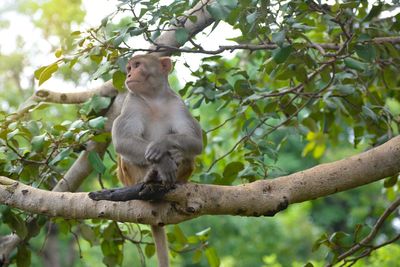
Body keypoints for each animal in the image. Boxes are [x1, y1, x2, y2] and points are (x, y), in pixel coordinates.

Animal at [111, 54, 203, 267]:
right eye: (129, 67)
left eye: (137, 65)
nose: (128, 75)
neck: (154, 99)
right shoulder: (131, 102)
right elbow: (123, 139)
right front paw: (162, 162)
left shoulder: (178, 104)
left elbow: (195, 142)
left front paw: (163, 145)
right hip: (129, 179)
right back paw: (150, 178)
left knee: (187, 155)